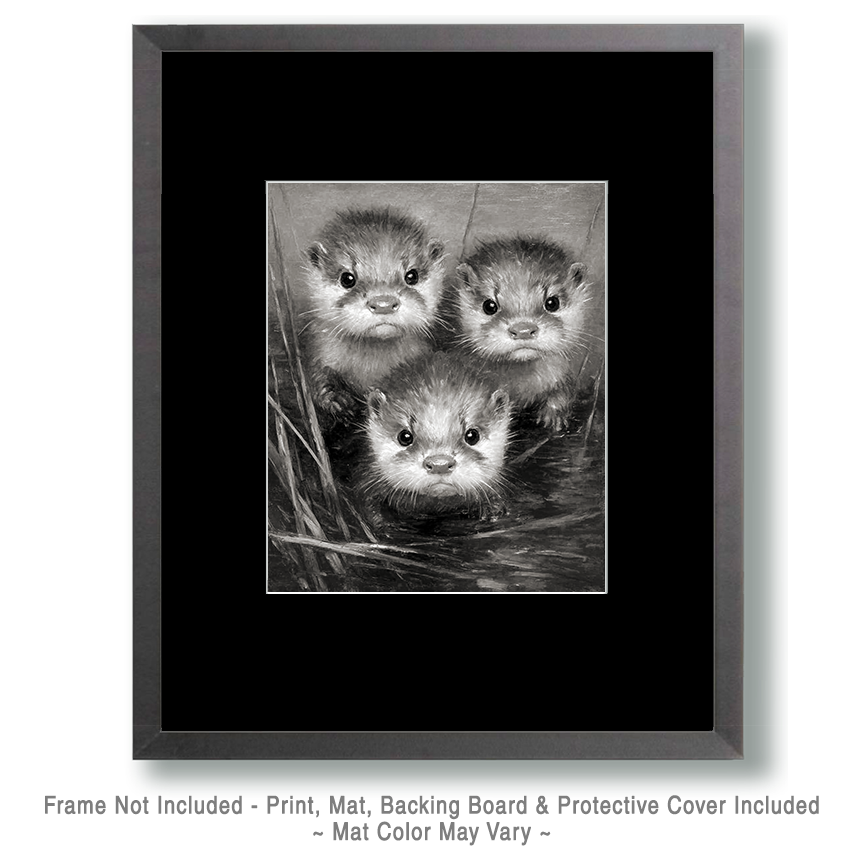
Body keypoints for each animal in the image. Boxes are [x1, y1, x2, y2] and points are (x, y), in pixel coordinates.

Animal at [301, 207, 447, 420]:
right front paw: (337, 400)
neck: (370, 370)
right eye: (347, 278)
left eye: (412, 275)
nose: (383, 303)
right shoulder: (319, 355)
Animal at [452, 235, 594, 431]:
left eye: (552, 302)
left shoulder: (562, 373)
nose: (523, 330)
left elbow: (564, 390)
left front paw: (555, 416)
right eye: (489, 305)